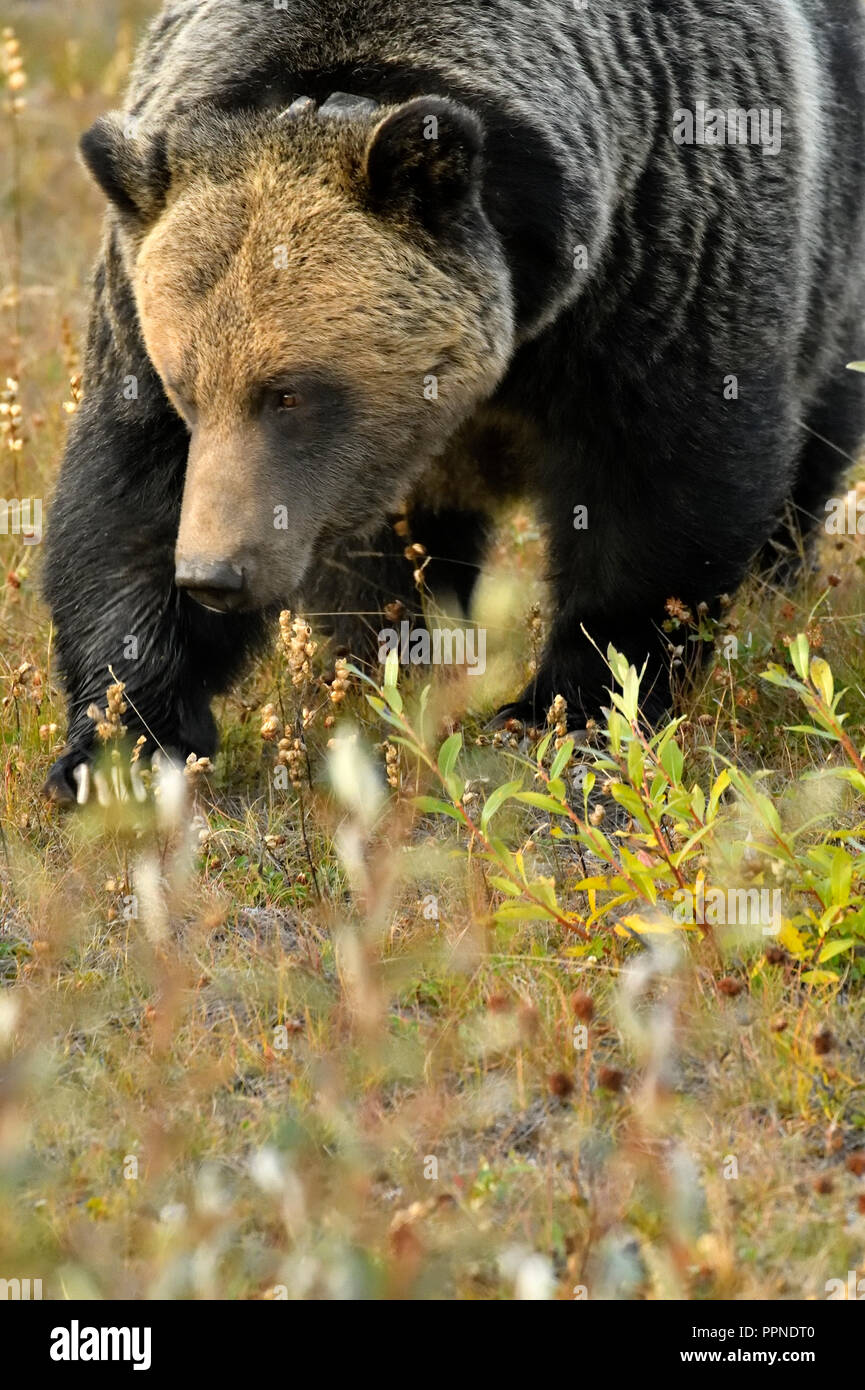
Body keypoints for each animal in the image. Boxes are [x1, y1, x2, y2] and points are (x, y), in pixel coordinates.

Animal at [42, 0, 865, 806]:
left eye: (289, 392)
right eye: (186, 388)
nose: (214, 575)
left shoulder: (659, 258)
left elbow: (661, 489)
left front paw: (567, 709)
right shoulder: (138, 311)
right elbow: (127, 504)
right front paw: (120, 745)